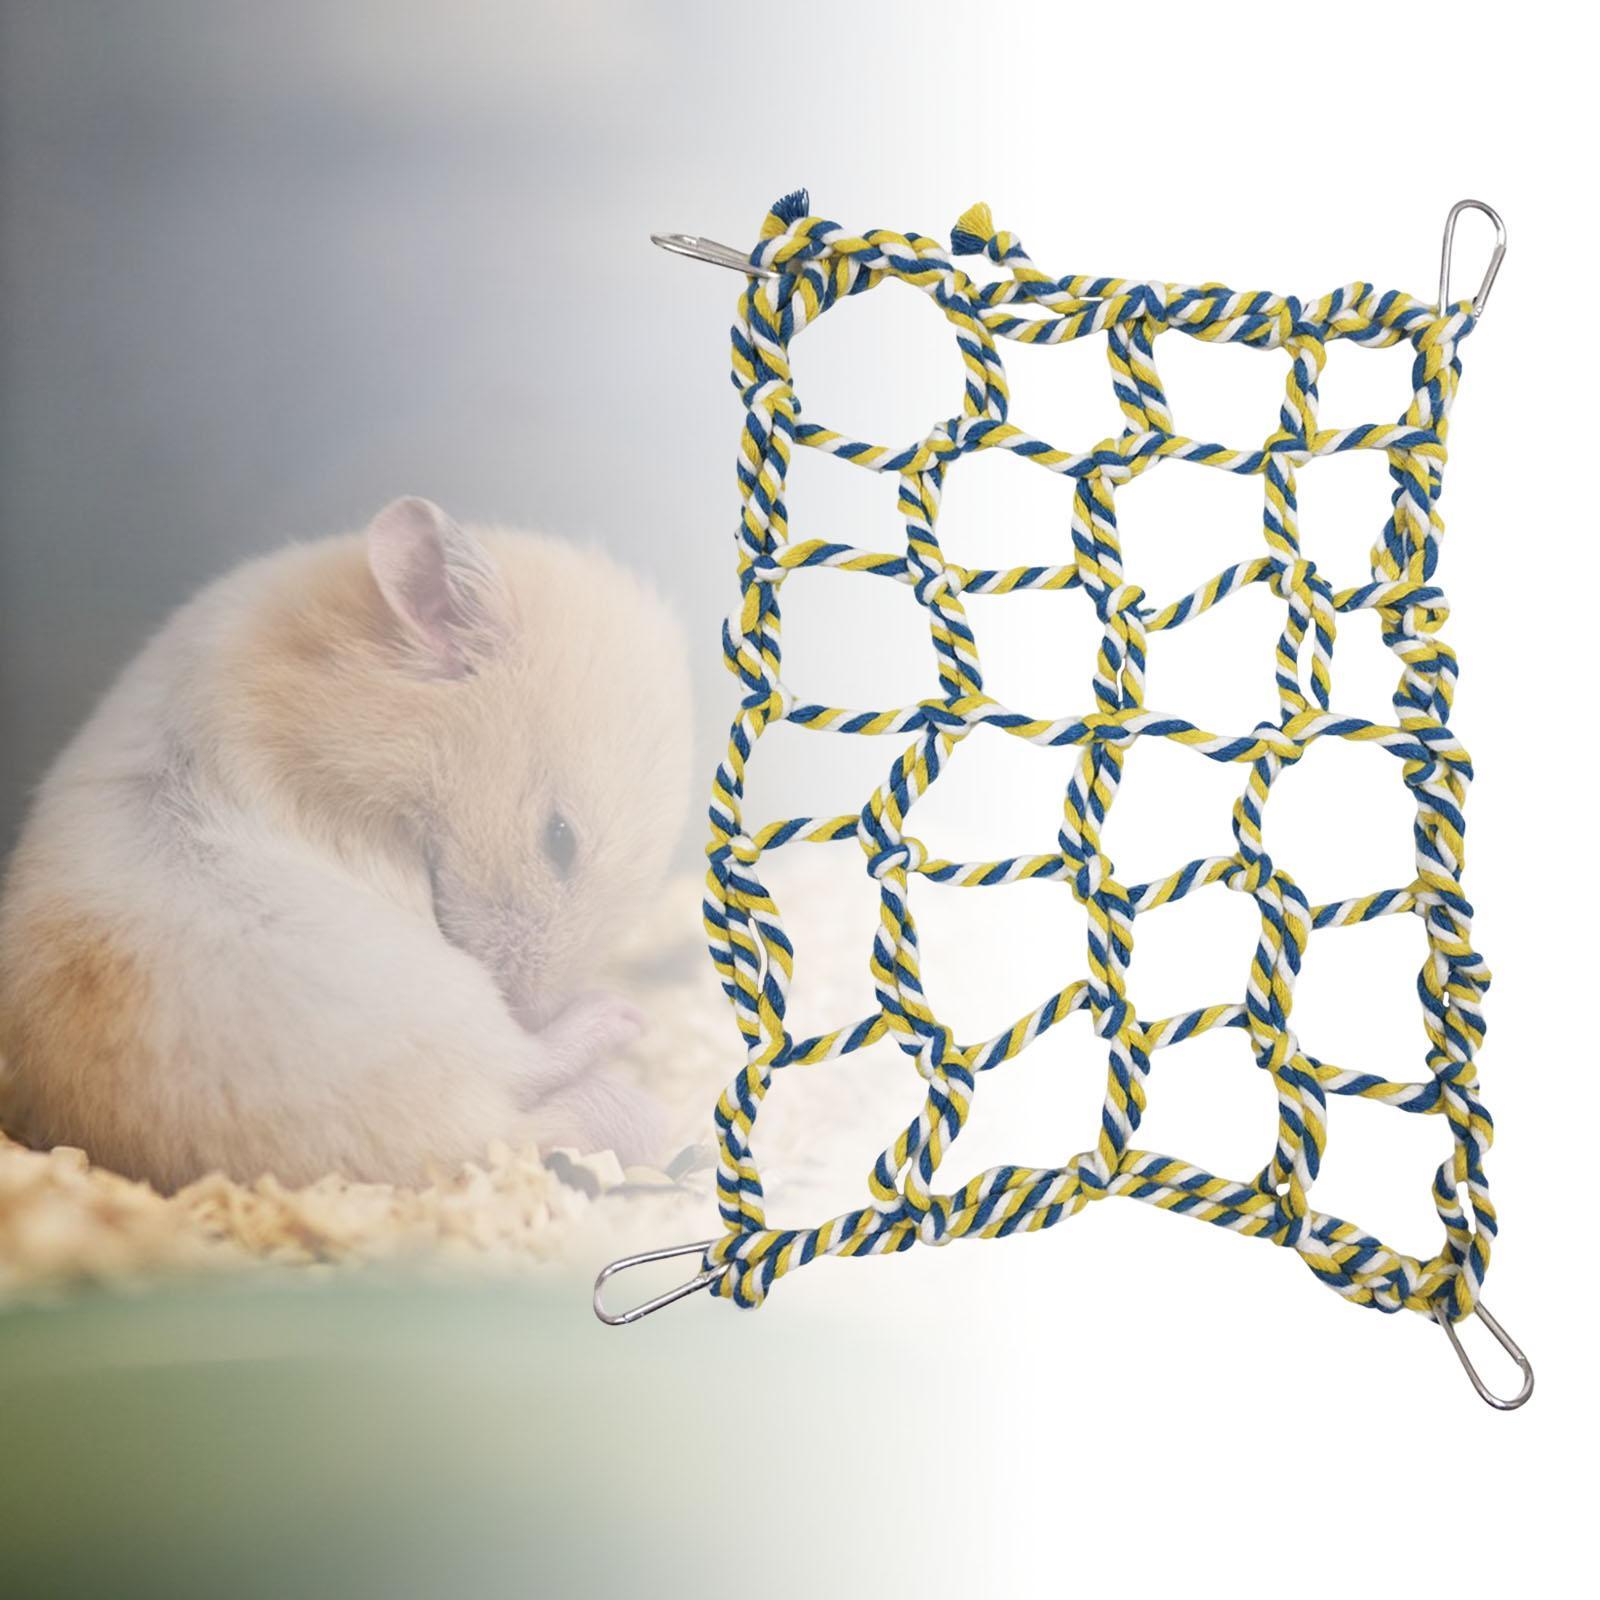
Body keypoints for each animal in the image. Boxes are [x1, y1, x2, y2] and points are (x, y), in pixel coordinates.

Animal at [0, 497, 692, 1191]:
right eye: (559, 839)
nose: (528, 1007)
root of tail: (470, 1139)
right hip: (426, 995)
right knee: (523, 1066)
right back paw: (624, 1021)